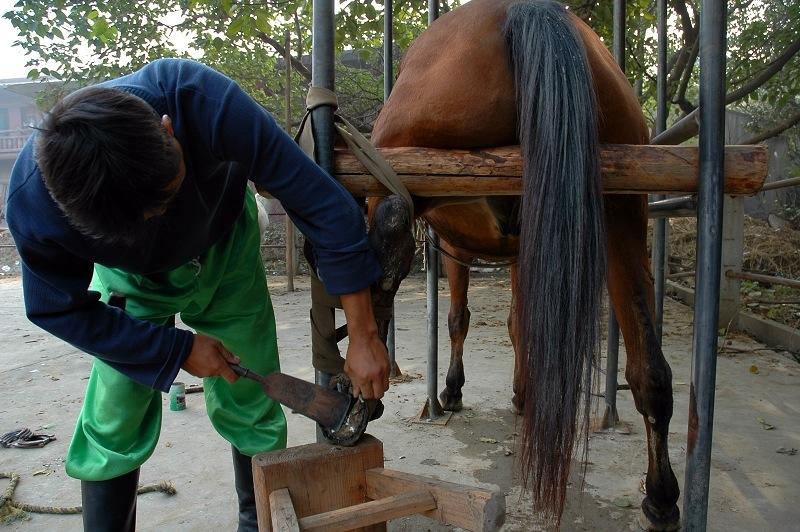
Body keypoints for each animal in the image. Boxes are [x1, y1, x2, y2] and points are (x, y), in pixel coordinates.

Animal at [369, 0, 679, 529]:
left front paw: (452, 390)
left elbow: (459, 318)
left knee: (384, 233)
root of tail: (522, 10)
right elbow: (519, 324)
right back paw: (662, 497)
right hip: (622, 213)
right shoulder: (523, 251)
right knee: (650, 371)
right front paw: (519, 393)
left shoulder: (457, 249)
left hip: (397, 161)